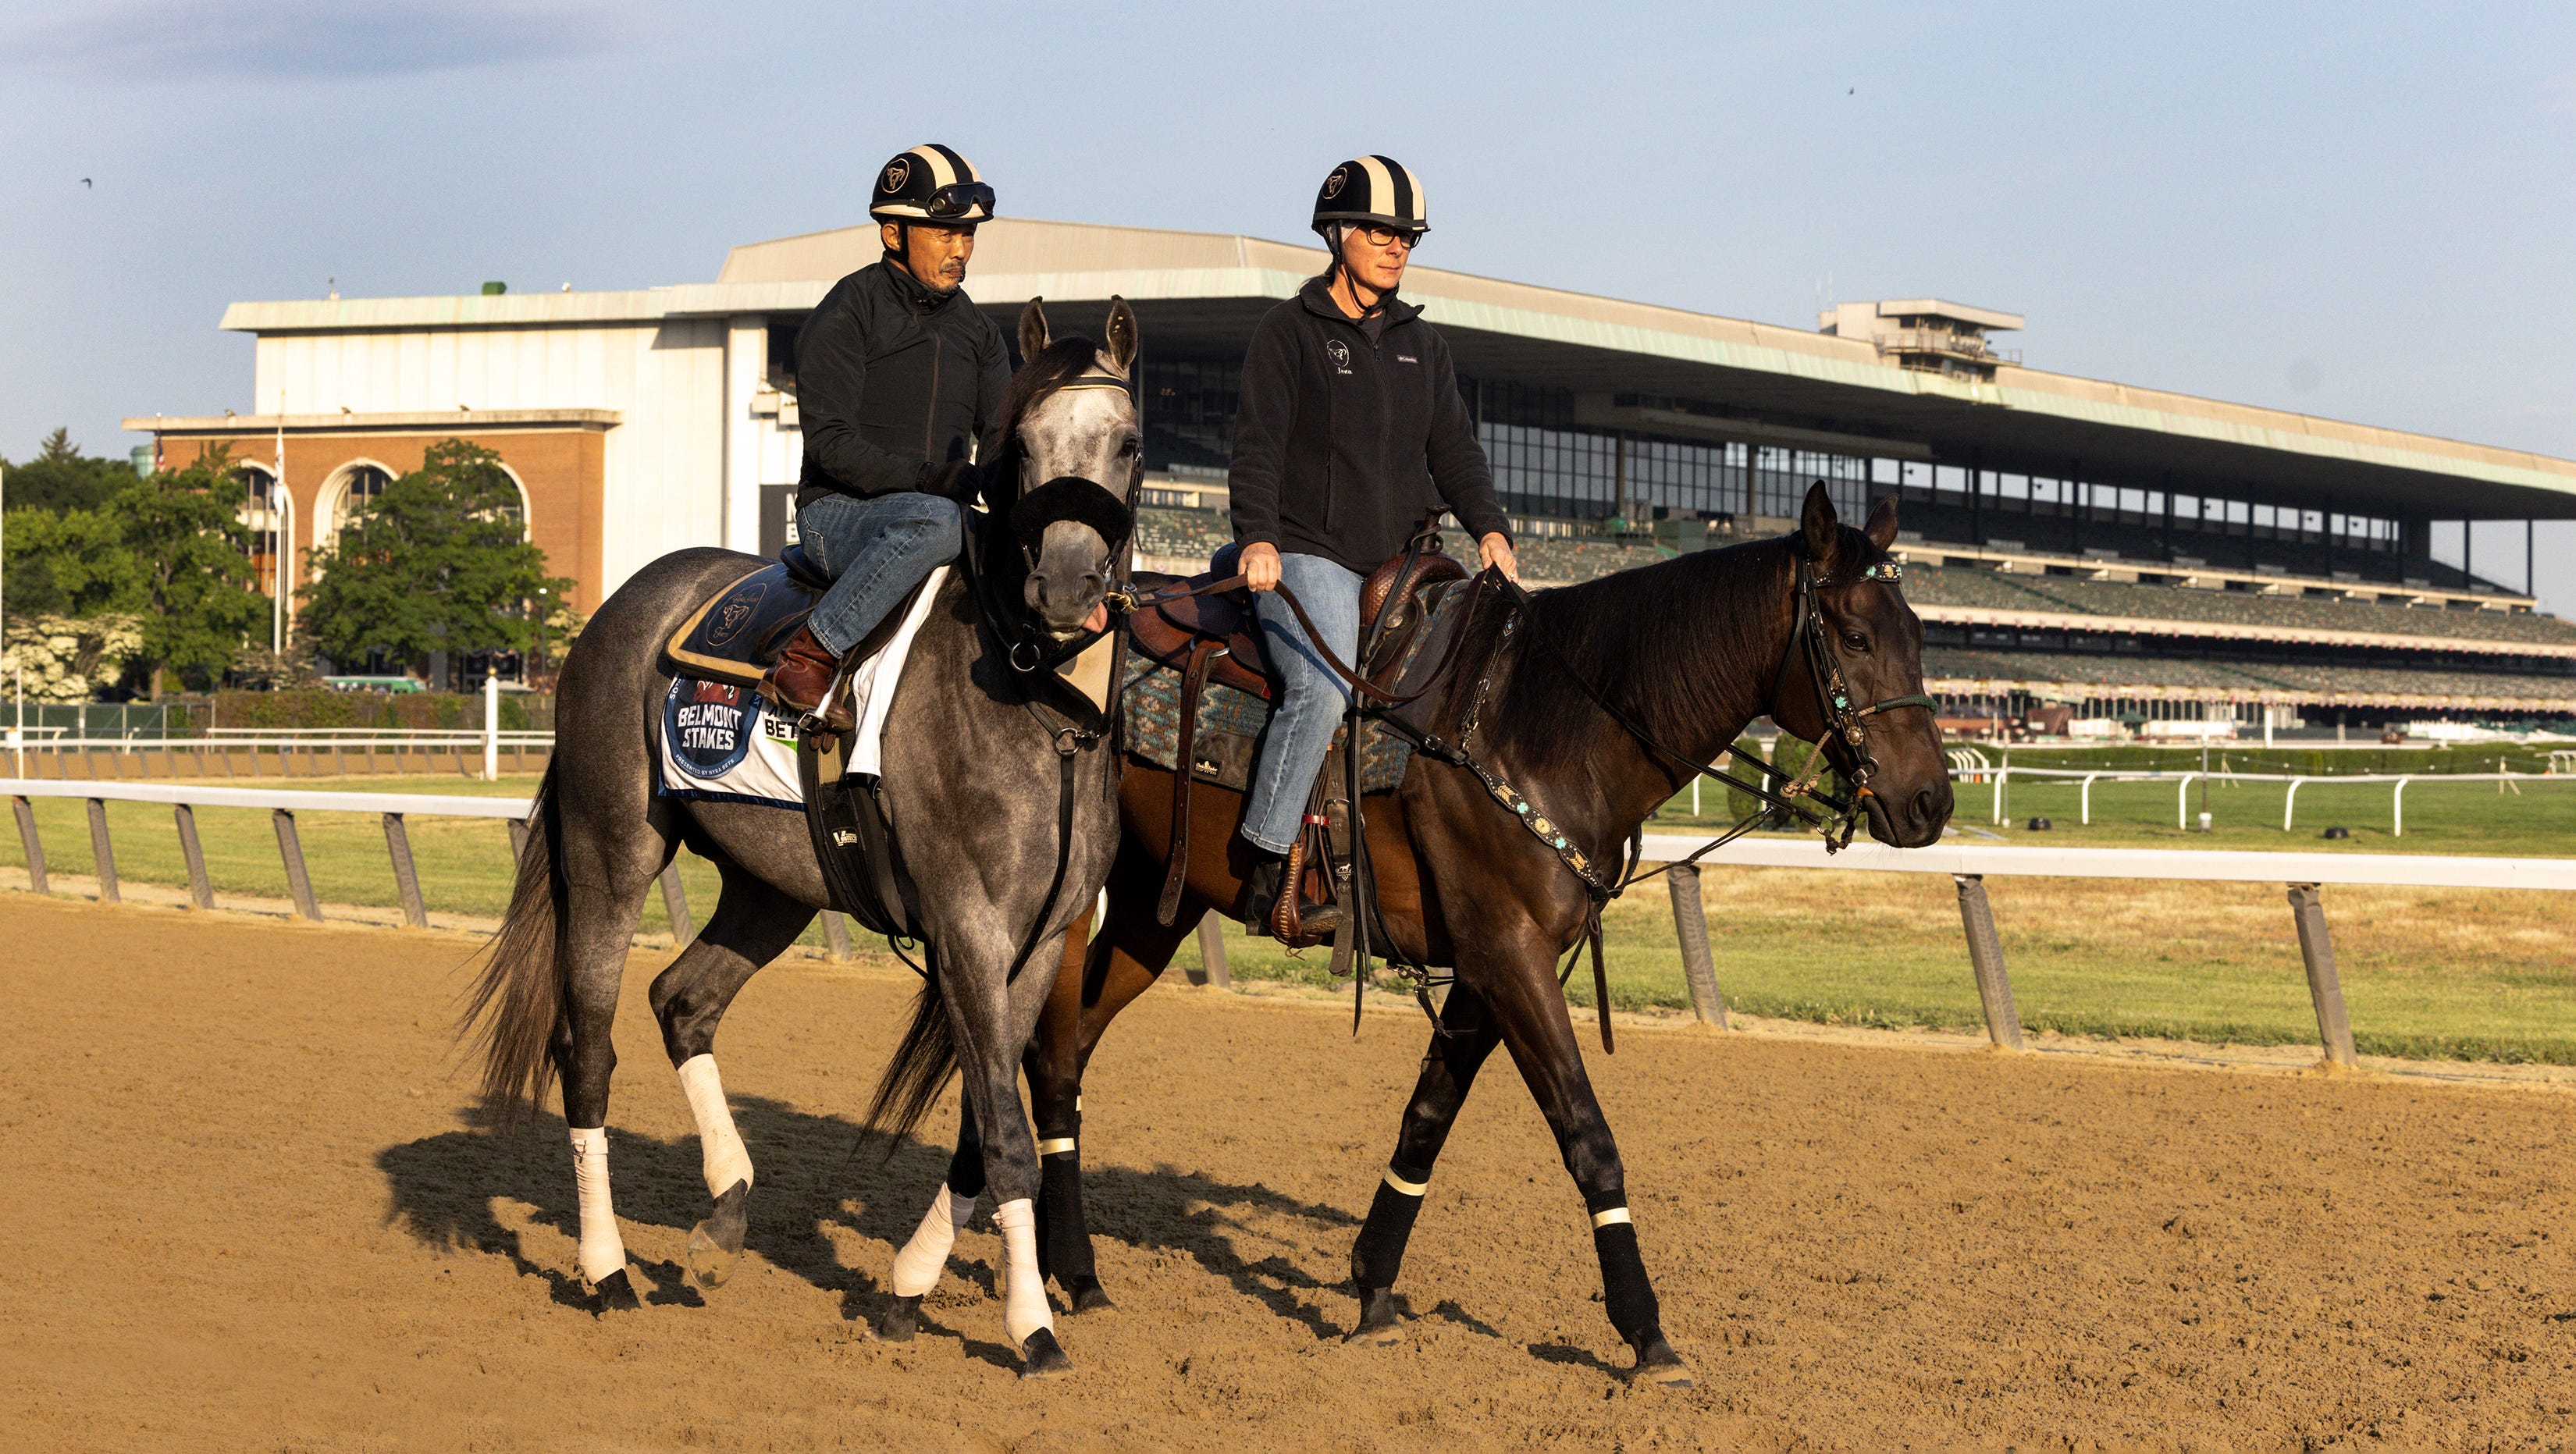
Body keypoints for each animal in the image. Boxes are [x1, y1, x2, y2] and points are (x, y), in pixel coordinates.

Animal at [466, 300, 1148, 1379]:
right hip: (611, 851)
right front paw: (1032, 1327)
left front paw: (909, 1286)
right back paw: (608, 1269)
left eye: (1124, 443)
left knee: (682, 1001)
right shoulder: (966, 928)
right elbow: (1004, 1133)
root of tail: (620, 609)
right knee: (588, 1047)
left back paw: (723, 1210)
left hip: (772, 885)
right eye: (1026, 445)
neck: (1042, 706)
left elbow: (981, 1126)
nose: (1070, 583)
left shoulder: (1042, 942)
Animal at [994, 483, 1937, 1379]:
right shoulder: (1510, 956)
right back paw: (1058, 1264)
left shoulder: (1494, 969)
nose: (1930, 801)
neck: (1542, 724)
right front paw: (1646, 1333)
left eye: (1921, 634)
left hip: (1155, 907)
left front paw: (1373, 1290)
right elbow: (1589, 1137)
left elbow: (1425, 1122)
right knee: (1042, 1055)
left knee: (1066, 1054)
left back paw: (1057, 1256)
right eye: (1856, 636)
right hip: (1071, 904)